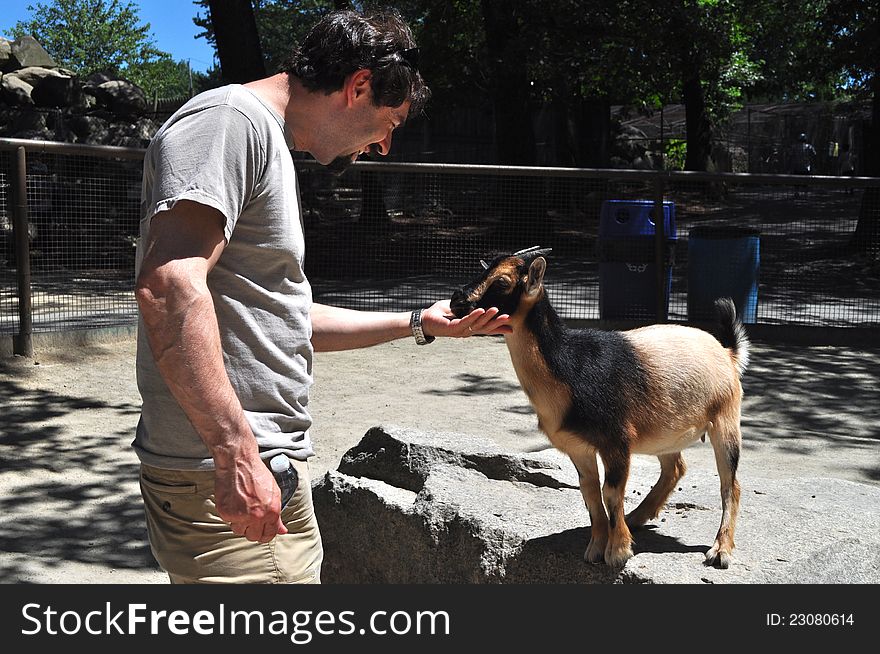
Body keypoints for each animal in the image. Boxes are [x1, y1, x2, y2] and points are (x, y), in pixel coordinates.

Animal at [454, 246, 748, 568]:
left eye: (502, 282)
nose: (457, 300)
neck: (570, 365)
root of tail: (728, 352)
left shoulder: (615, 441)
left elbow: (611, 492)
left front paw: (618, 552)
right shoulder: (578, 447)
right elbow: (591, 494)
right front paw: (596, 548)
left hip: (726, 420)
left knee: (730, 484)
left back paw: (720, 551)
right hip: (668, 432)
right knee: (675, 468)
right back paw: (636, 518)